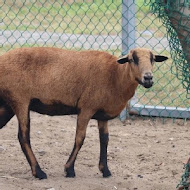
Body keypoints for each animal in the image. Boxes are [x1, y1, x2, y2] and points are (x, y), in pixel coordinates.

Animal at [0, 46, 168, 179]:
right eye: (133, 59)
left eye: (153, 59)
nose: (148, 78)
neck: (115, 75)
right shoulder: (86, 108)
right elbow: (80, 139)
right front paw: (69, 170)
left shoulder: (102, 114)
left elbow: (104, 139)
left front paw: (105, 170)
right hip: (20, 100)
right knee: (23, 136)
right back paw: (39, 172)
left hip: (7, 105)